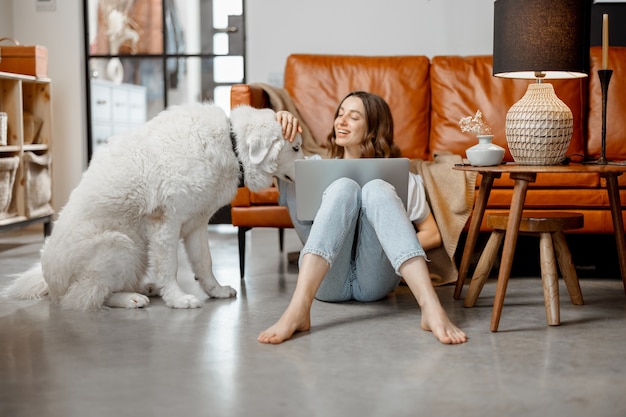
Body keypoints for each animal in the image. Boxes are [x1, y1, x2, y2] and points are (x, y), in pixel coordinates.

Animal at [4, 101, 302, 308]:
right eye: (296, 148)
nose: (309, 163)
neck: (231, 145)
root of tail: (49, 282)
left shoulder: (196, 224)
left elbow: (204, 263)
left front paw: (215, 291)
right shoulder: (165, 223)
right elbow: (169, 266)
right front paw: (178, 300)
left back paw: (146, 288)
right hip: (121, 245)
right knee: (85, 298)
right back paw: (131, 299)